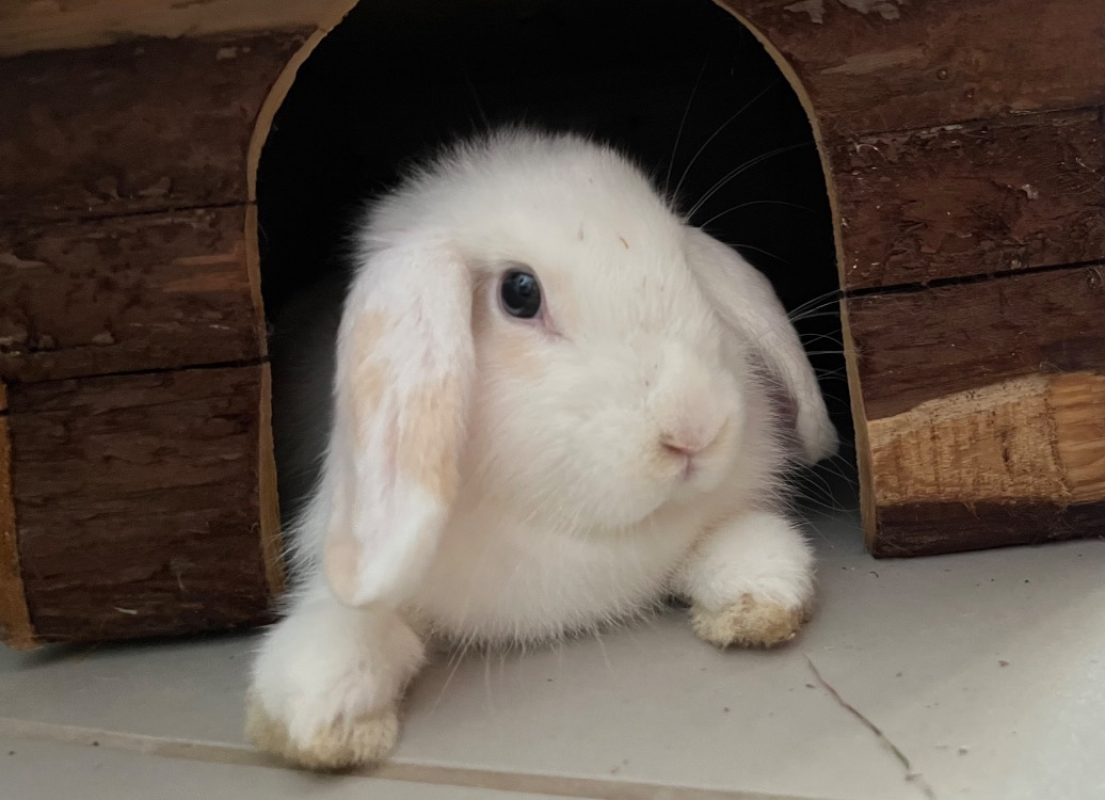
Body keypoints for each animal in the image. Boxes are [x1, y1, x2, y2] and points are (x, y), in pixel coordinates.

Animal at [247, 128, 837, 770]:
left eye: (684, 263)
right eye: (520, 293)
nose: (694, 428)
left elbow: (736, 545)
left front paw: (759, 599)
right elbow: (350, 634)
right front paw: (327, 722)